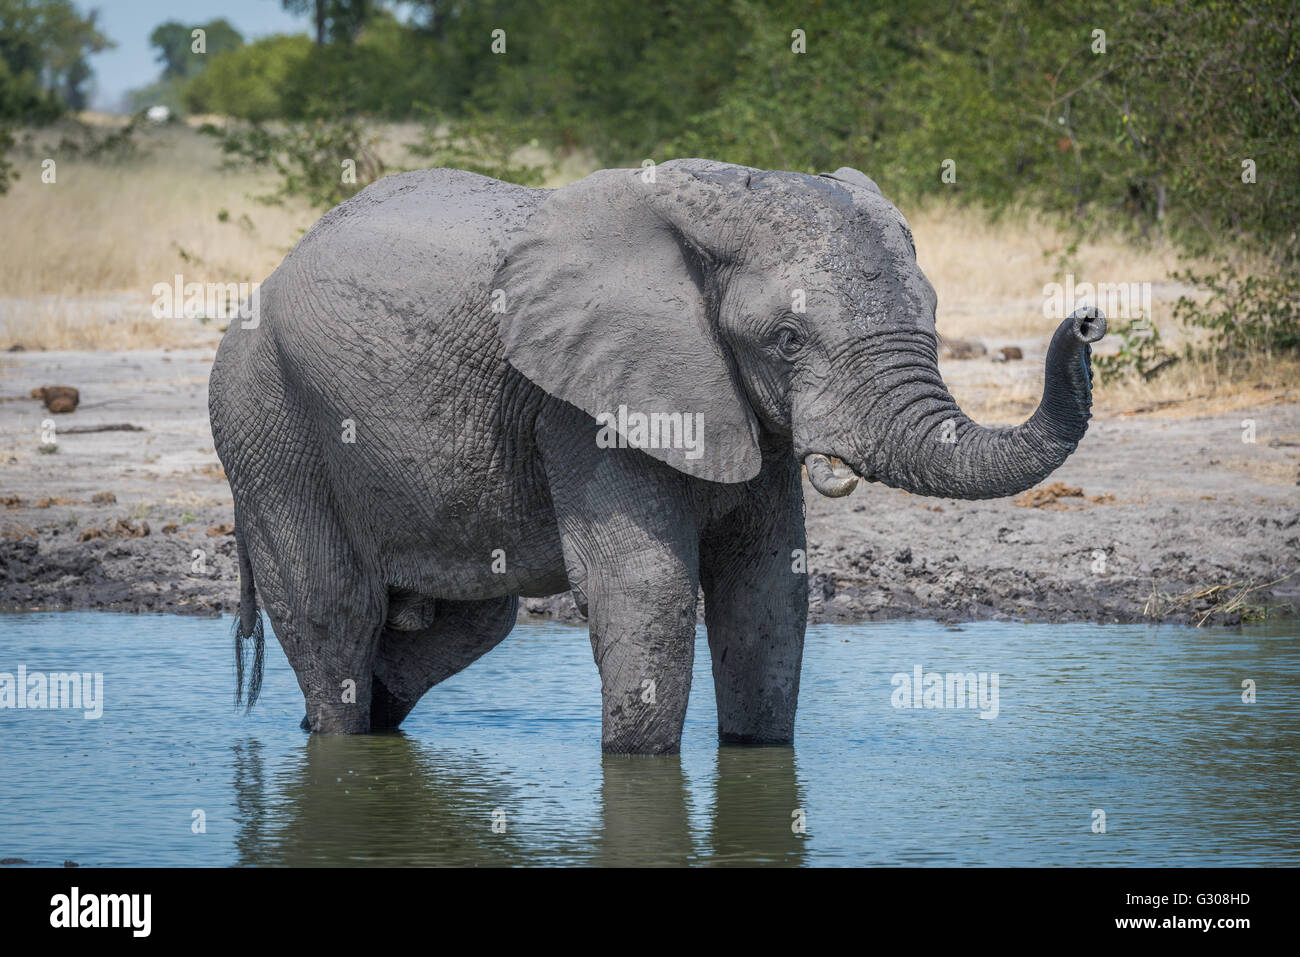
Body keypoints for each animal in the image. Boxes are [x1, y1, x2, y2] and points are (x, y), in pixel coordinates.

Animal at [208, 158, 1102, 754]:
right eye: (787, 339)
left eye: (935, 310)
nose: (1088, 319)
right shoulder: (583, 403)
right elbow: (648, 589)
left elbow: (767, 588)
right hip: (267, 423)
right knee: (334, 611)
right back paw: (336, 741)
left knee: (471, 621)